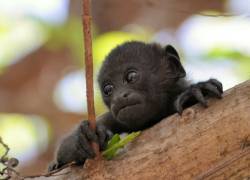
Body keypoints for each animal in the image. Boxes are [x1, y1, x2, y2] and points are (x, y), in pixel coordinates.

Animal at [48, 41, 223, 172]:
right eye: (108, 89)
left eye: (131, 76)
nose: (119, 96)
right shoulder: (110, 117)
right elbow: (64, 150)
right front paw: (83, 137)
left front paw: (195, 91)